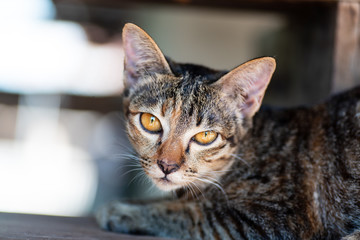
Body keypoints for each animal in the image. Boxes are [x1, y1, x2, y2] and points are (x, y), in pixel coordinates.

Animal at [95, 23, 360, 240]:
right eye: (150, 121)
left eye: (206, 136)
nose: (167, 166)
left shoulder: (277, 218)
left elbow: (196, 215)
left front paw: (125, 211)